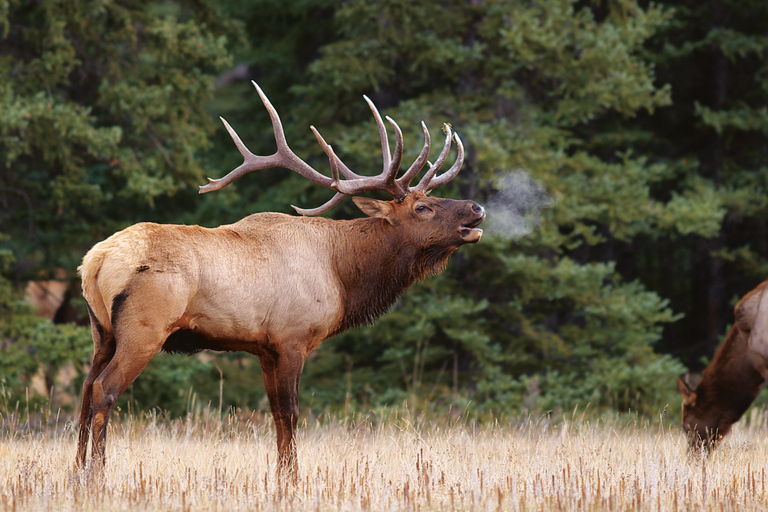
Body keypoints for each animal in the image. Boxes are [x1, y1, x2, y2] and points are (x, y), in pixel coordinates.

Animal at [76, 83, 486, 472]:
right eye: (423, 207)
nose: (476, 207)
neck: (342, 275)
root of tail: (95, 260)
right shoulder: (293, 337)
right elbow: (291, 412)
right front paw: (292, 479)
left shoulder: (264, 347)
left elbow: (274, 414)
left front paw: (281, 476)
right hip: (143, 329)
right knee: (104, 389)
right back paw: (97, 473)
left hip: (102, 332)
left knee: (85, 388)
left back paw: (78, 472)